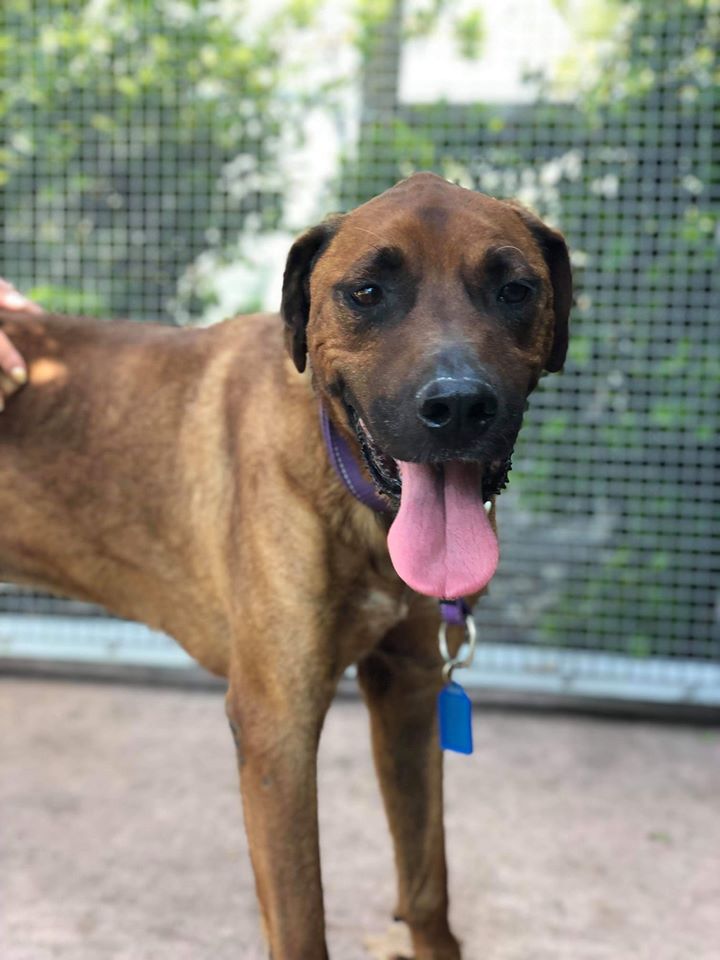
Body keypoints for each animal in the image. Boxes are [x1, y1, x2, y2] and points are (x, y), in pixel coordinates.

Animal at [0, 172, 570, 959]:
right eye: (366, 293)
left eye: (514, 289)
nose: (458, 406)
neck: (357, 501)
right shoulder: (276, 726)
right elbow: (302, 923)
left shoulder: (409, 688)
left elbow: (427, 881)